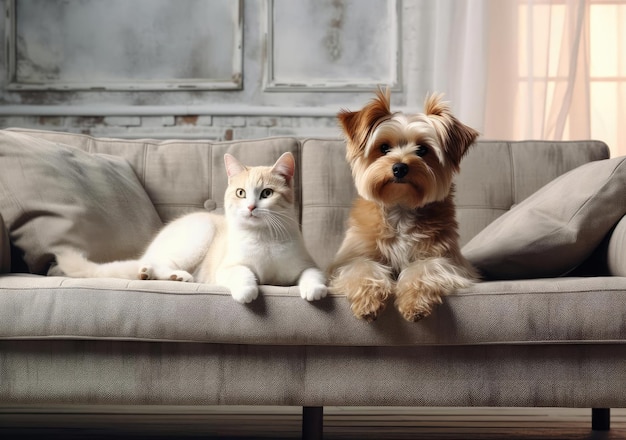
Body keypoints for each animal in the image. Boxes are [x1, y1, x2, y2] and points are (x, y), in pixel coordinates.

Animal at [53, 153, 326, 304]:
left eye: (267, 193)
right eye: (241, 193)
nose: (250, 207)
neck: (264, 237)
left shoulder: (307, 265)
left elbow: (312, 275)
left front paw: (315, 290)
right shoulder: (226, 267)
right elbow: (242, 273)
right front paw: (247, 292)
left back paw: (160, 276)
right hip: (198, 235)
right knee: (160, 262)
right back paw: (171, 275)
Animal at [326, 88, 478, 324]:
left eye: (422, 149)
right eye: (384, 147)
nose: (399, 168)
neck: (401, 207)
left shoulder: (448, 260)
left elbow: (424, 268)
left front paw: (414, 304)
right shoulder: (351, 258)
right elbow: (362, 267)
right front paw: (368, 302)